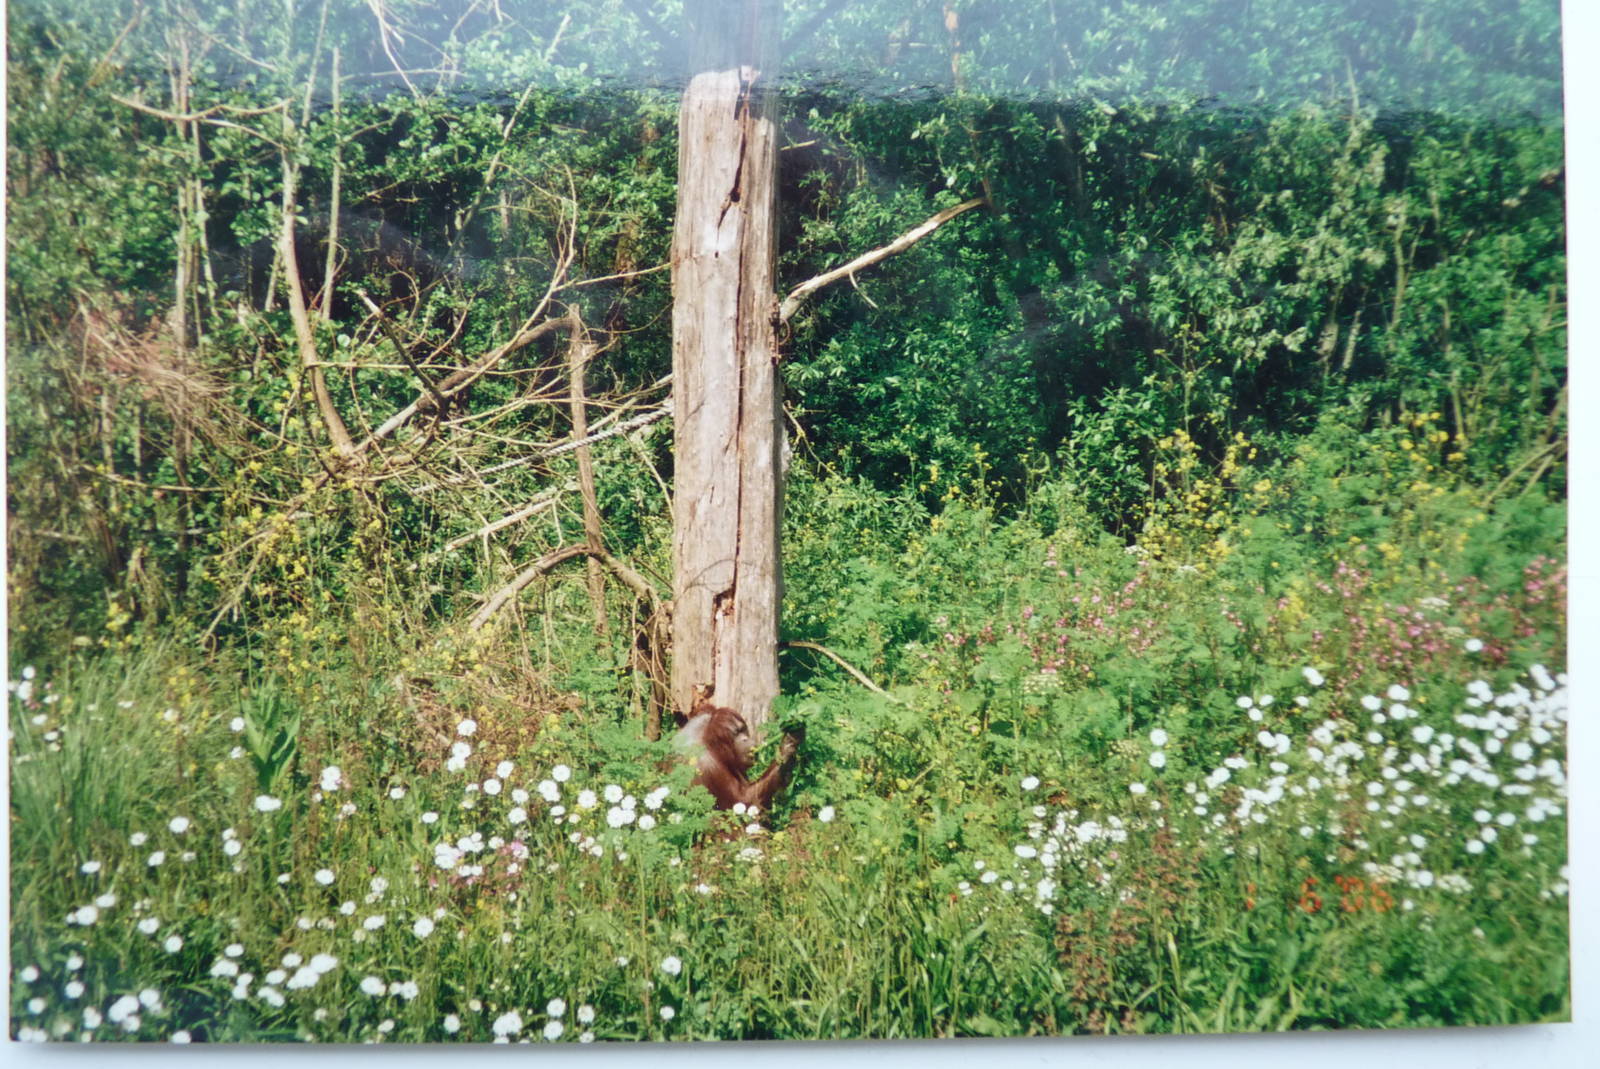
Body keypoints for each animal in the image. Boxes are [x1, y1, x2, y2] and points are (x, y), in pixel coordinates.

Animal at [674, 701, 804, 812]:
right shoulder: (707, 766)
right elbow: (743, 803)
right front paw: (786, 746)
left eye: (743, 729)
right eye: (736, 733)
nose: (745, 739)